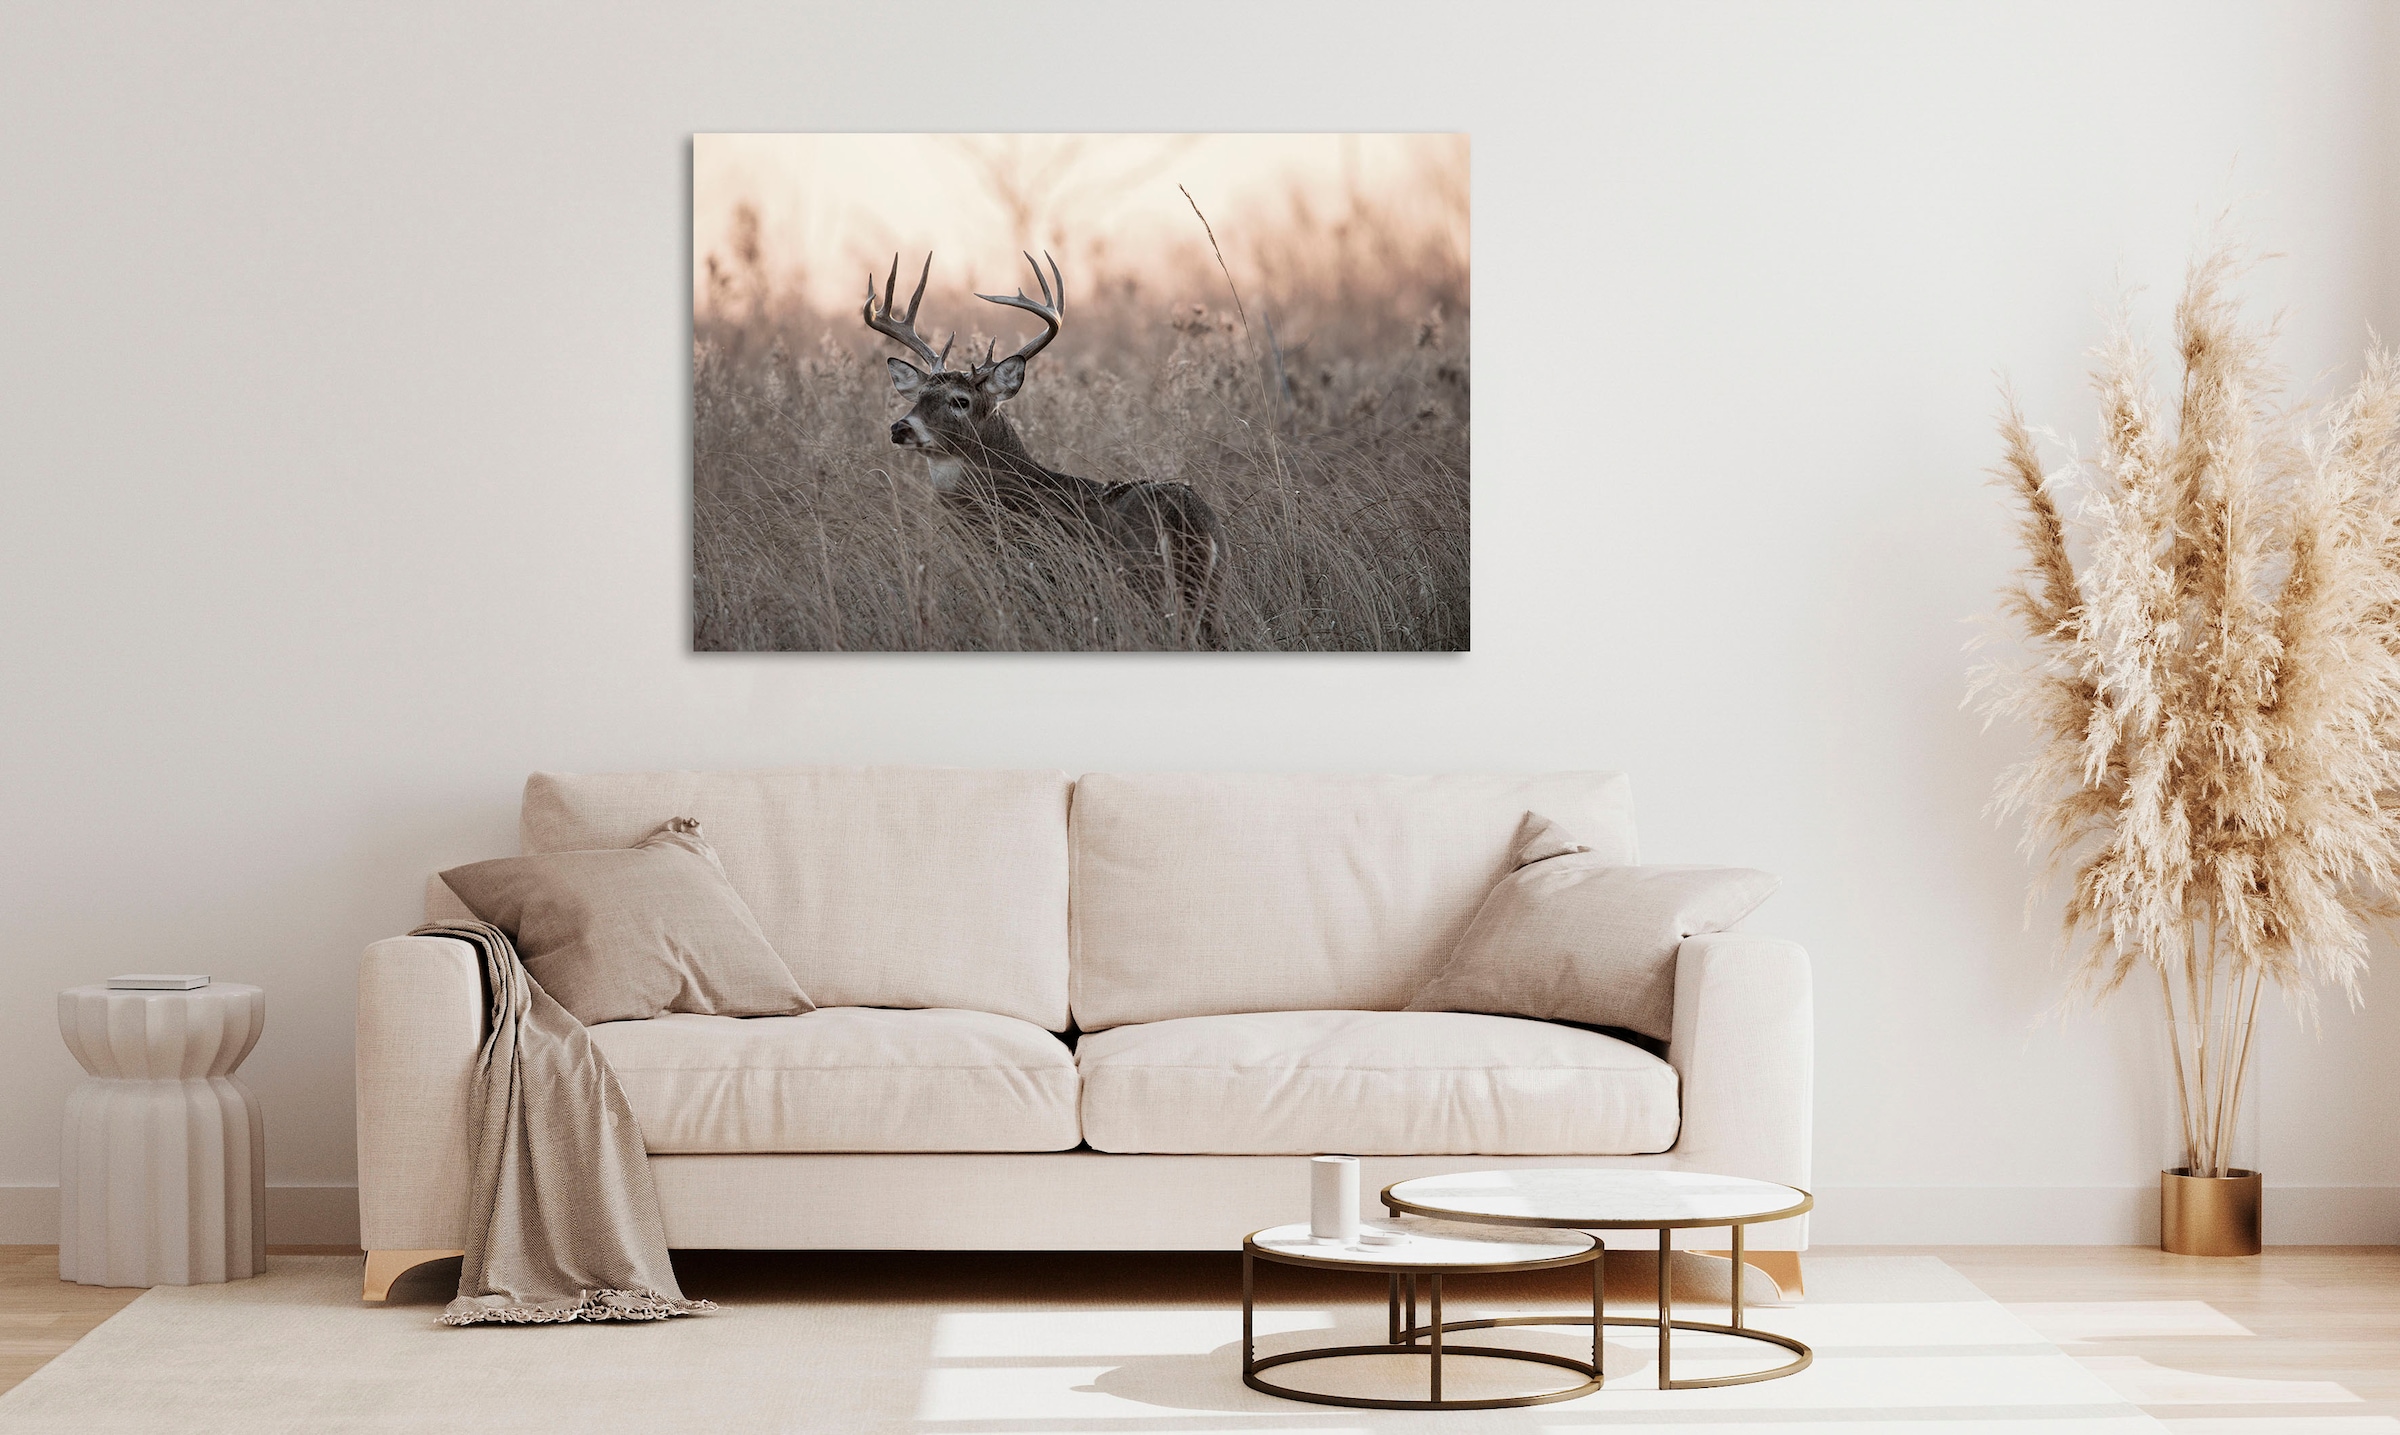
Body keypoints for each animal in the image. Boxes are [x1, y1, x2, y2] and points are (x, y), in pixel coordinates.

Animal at [864, 252, 1227, 648]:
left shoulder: (1038, 577)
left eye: (960, 401)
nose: (900, 428)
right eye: (919, 396)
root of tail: (1183, 521)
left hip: (1144, 585)